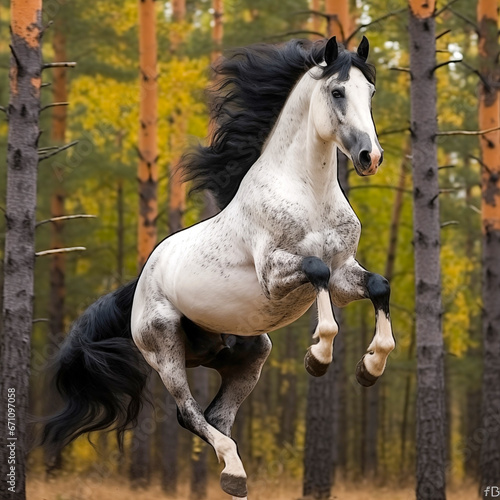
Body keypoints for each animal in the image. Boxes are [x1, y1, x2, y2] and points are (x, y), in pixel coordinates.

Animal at [42, 36, 394, 500]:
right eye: (337, 92)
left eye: (369, 93)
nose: (370, 157)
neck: (309, 193)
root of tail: (141, 281)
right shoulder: (275, 274)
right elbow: (316, 272)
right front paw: (318, 356)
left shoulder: (344, 273)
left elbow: (379, 286)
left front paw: (370, 366)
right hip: (165, 349)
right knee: (189, 413)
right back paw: (234, 470)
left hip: (250, 353)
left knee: (217, 416)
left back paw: (234, 473)